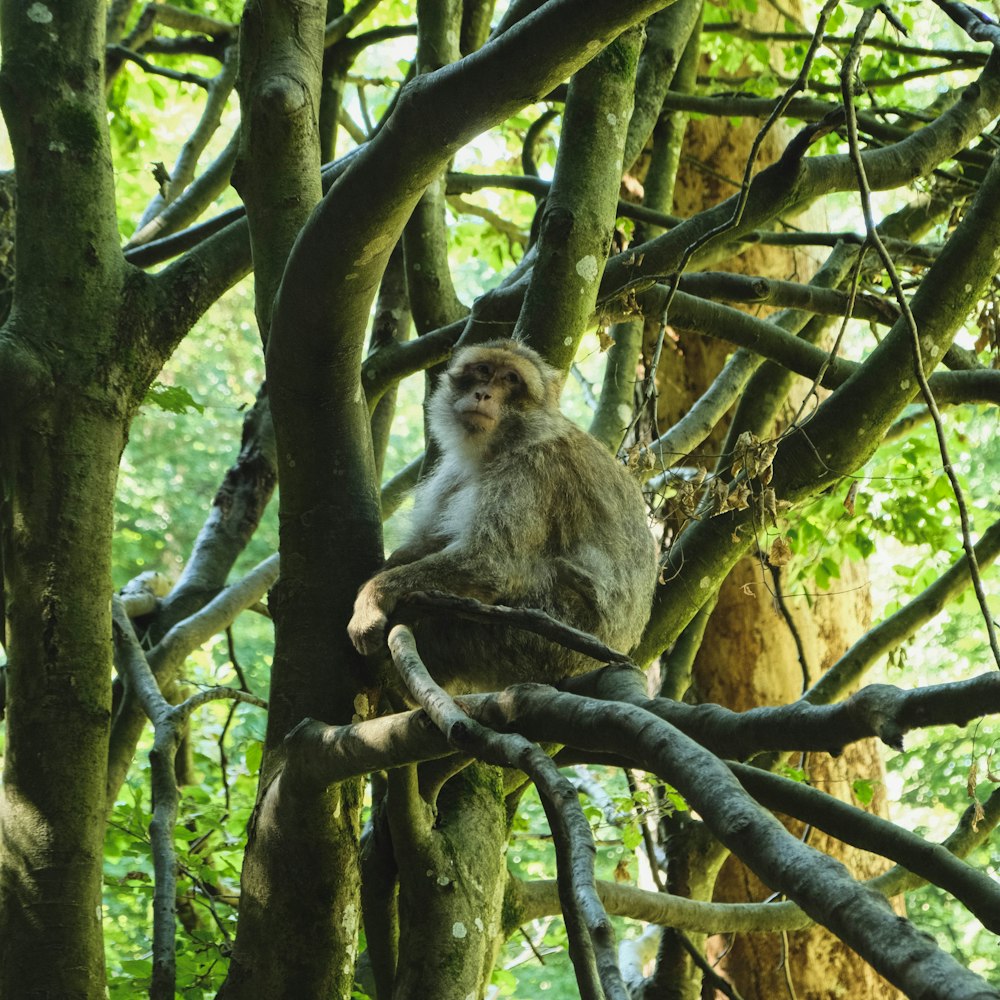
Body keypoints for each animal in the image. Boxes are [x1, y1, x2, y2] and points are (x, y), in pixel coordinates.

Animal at [348, 338, 660, 696]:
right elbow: (432, 540)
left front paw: (373, 597)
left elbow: (489, 563)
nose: (483, 394)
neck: (501, 446)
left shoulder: (532, 472)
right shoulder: (455, 473)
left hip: (543, 640)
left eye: (511, 379)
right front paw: (382, 573)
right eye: (483, 370)